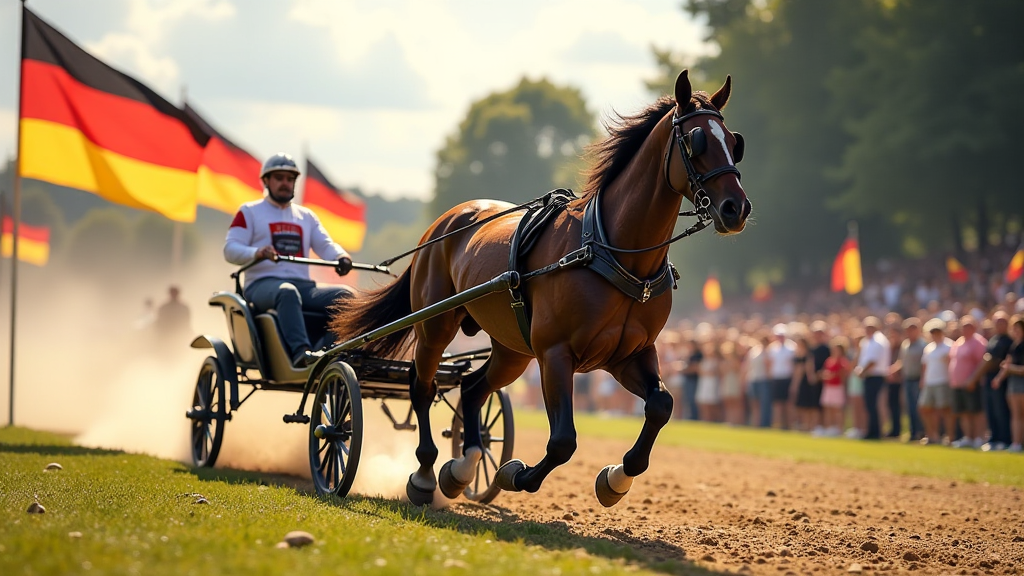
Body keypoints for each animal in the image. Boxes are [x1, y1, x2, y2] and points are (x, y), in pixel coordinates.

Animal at [329, 69, 753, 504]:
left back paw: (463, 467)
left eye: (733, 142)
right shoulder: (555, 353)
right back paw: (425, 473)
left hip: (512, 349)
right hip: (436, 324)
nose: (737, 209)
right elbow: (563, 440)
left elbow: (662, 405)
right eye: (696, 140)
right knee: (422, 387)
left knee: (471, 388)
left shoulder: (629, 353)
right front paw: (516, 475)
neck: (609, 251)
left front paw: (616, 478)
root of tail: (444, 224)